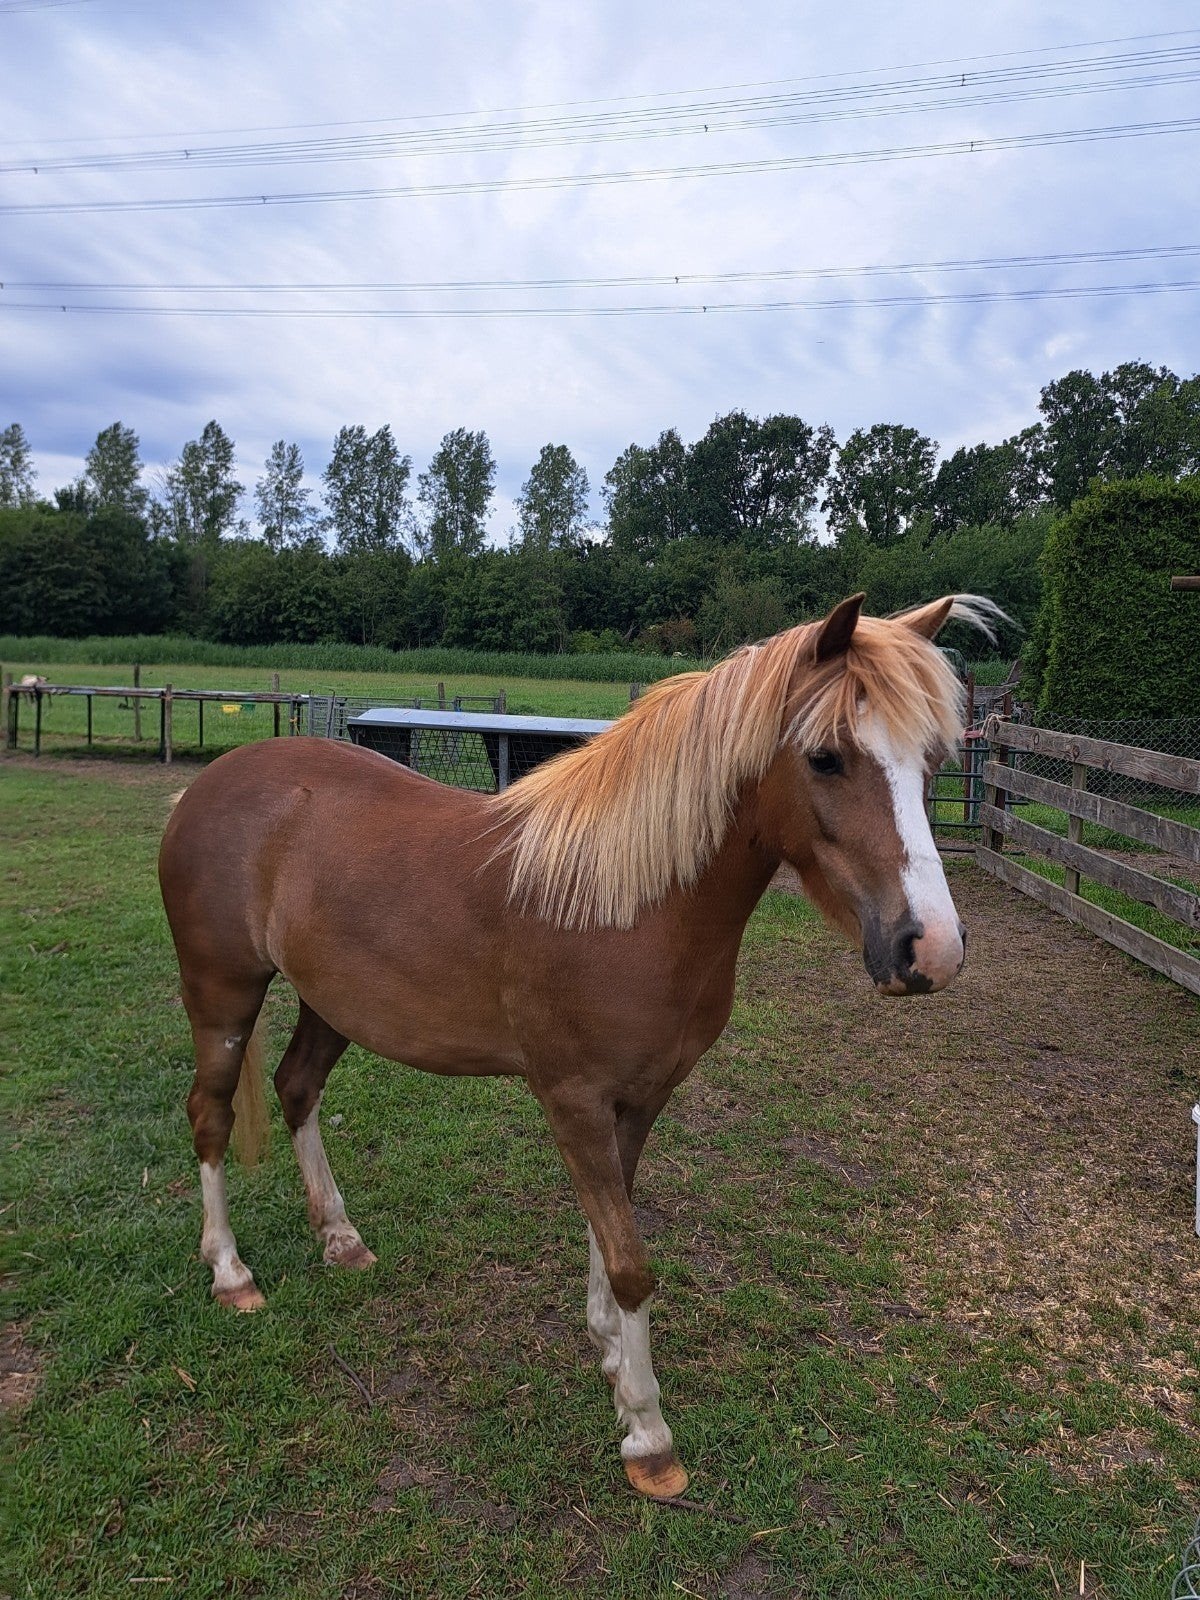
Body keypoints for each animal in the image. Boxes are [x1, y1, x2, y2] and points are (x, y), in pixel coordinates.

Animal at [158, 592, 994, 1499]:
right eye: (826, 758)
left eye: (933, 760)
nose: (932, 950)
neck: (625, 906)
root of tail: (211, 782)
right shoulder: (574, 1101)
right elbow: (630, 1258)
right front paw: (648, 1434)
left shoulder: (641, 1099)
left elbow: (610, 1225)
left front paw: (610, 1354)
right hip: (223, 993)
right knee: (209, 1114)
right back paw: (231, 1274)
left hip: (330, 1004)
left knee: (297, 1088)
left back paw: (341, 1240)